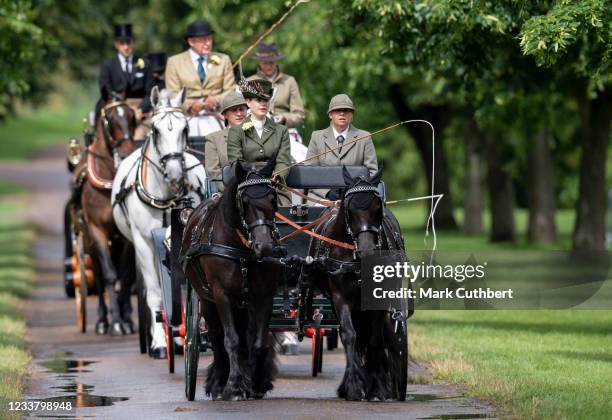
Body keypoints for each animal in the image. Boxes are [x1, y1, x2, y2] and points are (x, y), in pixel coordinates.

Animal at [72, 95, 137, 334]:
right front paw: (115, 322)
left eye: (132, 117)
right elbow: (109, 275)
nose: (126, 153)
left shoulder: (126, 238)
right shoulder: (97, 231)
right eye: (110, 120)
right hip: (89, 240)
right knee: (99, 275)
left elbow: (125, 277)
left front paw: (126, 320)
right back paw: (102, 320)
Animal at [110, 87, 206, 356]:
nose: (174, 173)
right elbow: (154, 293)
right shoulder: (143, 242)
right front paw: (159, 342)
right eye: (155, 130)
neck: (164, 196)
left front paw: (177, 338)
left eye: (185, 129)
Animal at [180, 160, 286, 400]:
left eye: (272, 199)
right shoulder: (222, 294)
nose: (265, 247)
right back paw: (219, 382)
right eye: (244, 201)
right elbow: (231, 340)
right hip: (207, 300)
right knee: (217, 338)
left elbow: (257, 341)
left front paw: (256, 383)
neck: (241, 249)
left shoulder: (264, 295)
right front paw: (234, 386)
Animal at [308, 167, 408, 400]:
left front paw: (378, 386)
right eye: (350, 208)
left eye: (377, 206)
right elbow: (349, 334)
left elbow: (375, 339)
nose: (367, 250)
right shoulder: (340, 297)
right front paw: (353, 386)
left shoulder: (379, 299)